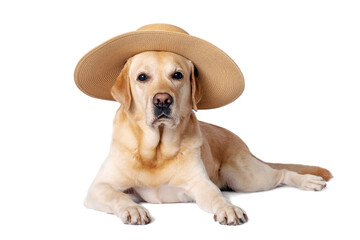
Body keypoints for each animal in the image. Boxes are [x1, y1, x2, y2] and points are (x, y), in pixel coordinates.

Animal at [84, 50, 332, 225]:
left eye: (177, 75)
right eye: (142, 77)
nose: (163, 100)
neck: (157, 151)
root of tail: (240, 141)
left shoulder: (201, 185)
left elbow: (216, 197)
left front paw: (228, 208)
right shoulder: (99, 188)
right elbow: (118, 196)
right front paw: (133, 208)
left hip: (247, 179)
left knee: (281, 173)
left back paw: (307, 180)